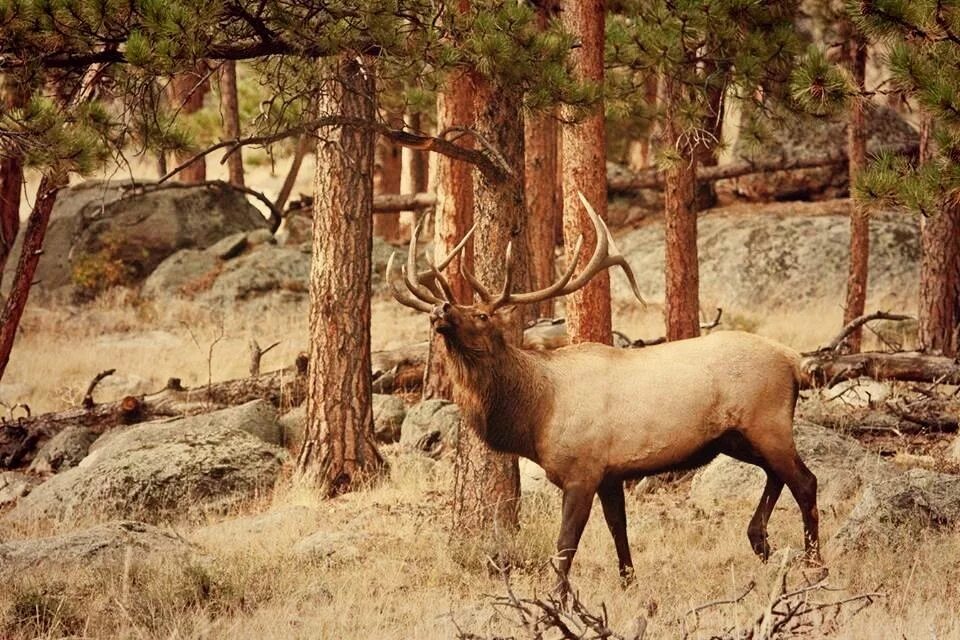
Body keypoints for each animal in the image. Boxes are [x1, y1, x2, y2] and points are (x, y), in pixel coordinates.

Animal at [386, 194, 820, 592]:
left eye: (481, 314)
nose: (440, 309)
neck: (537, 414)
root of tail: (794, 361)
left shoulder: (583, 469)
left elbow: (565, 545)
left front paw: (558, 600)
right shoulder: (612, 474)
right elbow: (618, 530)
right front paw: (629, 583)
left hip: (766, 421)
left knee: (805, 481)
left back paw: (814, 564)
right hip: (736, 436)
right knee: (776, 474)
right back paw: (760, 541)